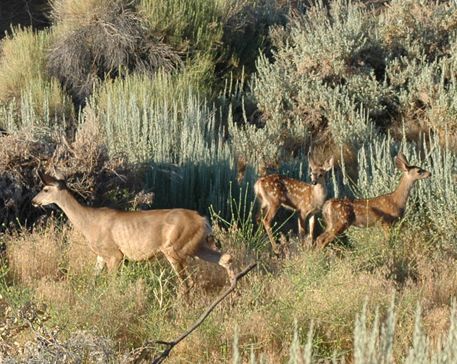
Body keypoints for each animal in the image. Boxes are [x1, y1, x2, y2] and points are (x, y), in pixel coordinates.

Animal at [32, 172, 235, 292]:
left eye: (45, 189)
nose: (34, 201)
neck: (88, 222)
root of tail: (204, 221)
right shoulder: (101, 255)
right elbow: (93, 278)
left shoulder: (115, 254)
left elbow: (113, 283)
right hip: (196, 246)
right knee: (225, 258)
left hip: (175, 248)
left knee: (186, 283)